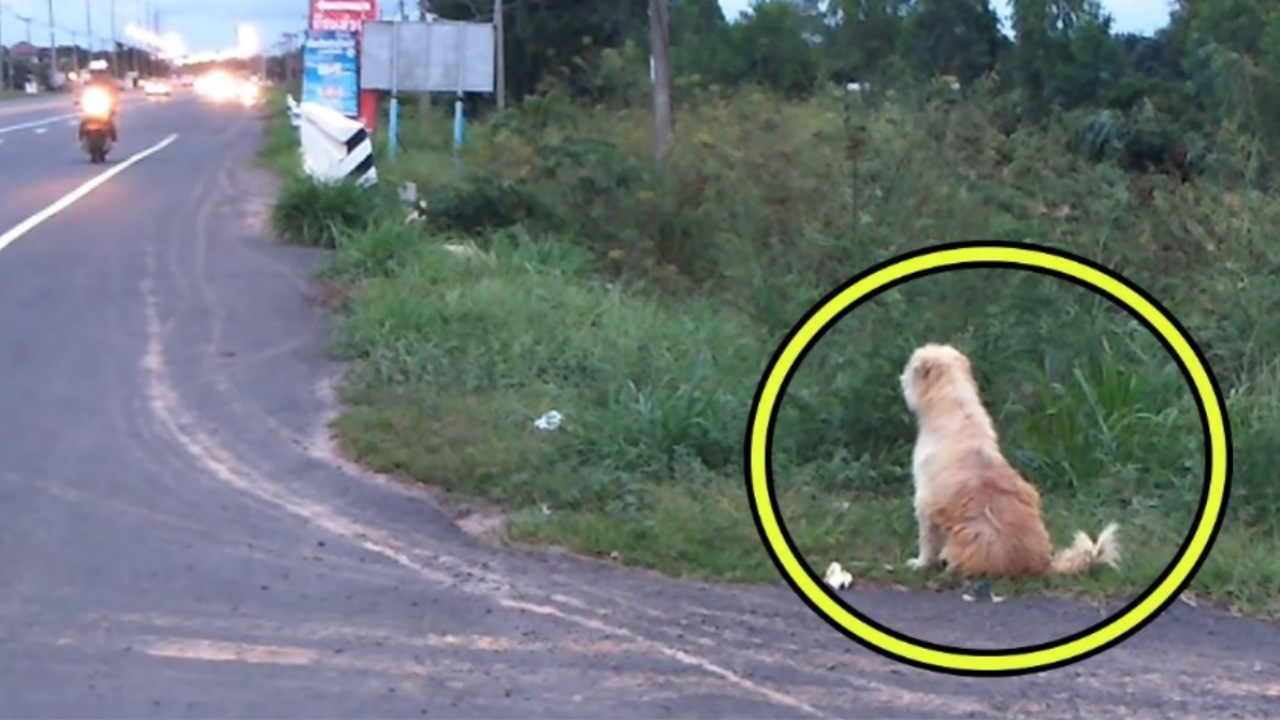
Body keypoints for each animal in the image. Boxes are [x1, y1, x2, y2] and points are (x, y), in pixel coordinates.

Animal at [901, 340, 1121, 576]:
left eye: (910, 366)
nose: (901, 377)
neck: (955, 404)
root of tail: (1044, 564)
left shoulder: (925, 501)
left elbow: (927, 540)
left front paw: (920, 563)